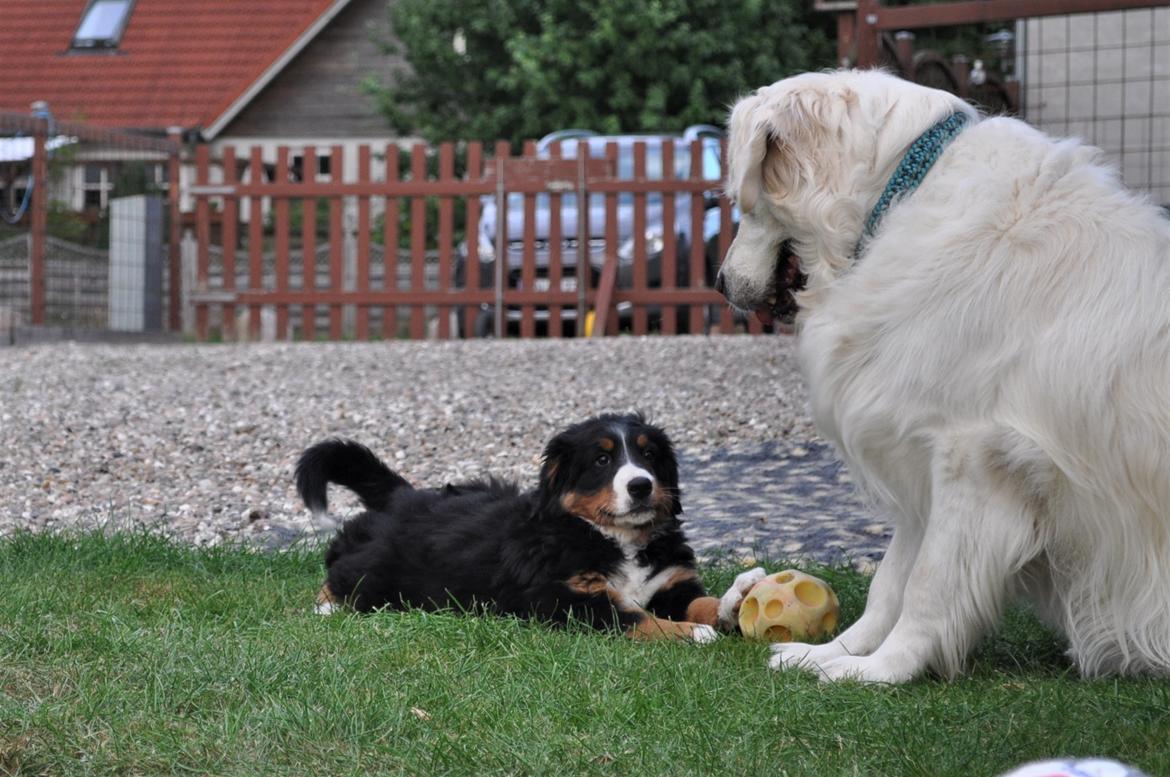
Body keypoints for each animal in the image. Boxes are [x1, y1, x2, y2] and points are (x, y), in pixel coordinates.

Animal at [297, 409, 762, 641]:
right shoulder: (566, 598)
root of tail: (403, 496)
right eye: (602, 459)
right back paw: (326, 605)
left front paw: (732, 603)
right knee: (344, 575)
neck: (614, 538)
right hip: (380, 572)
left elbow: (700, 601)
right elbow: (635, 618)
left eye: (649, 456)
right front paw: (694, 633)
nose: (641, 486)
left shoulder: (670, 583)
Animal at [716, 71, 1170, 678]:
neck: (898, 193)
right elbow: (890, 582)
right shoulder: (918, 457)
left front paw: (879, 671)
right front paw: (835, 654)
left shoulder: (972, 459)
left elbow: (927, 587)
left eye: (741, 202)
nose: (719, 282)